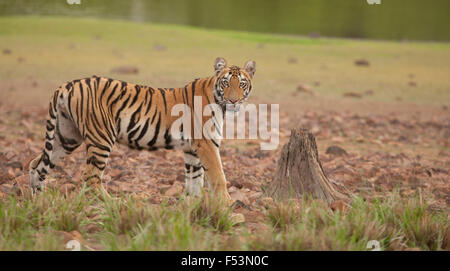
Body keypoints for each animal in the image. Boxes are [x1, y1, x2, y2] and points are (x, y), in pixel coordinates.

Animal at [29, 56, 256, 206]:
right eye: (226, 83)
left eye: (241, 84)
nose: (233, 101)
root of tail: (67, 85)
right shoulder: (207, 143)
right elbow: (218, 175)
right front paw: (227, 203)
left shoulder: (192, 149)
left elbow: (195, 179)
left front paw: (194, 206)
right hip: (101, 137)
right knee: (90, 176)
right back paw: (112, 203)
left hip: (66, 136)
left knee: (37, 164)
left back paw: (37, 201)